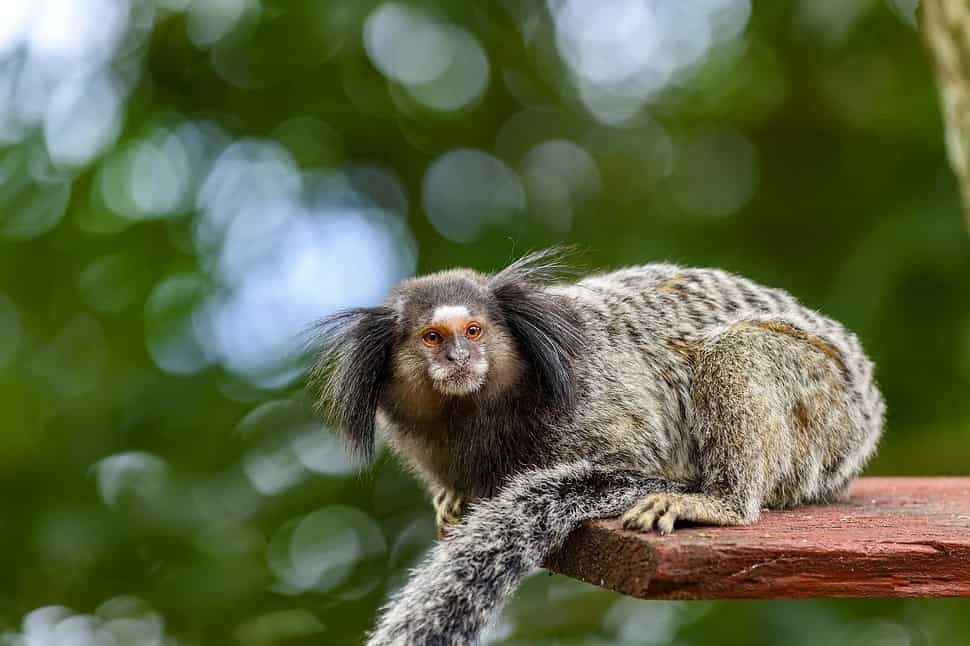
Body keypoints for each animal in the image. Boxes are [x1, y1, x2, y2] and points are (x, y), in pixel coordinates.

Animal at [312, 248, 884, 646]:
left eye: (473, 331)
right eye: (432, 338)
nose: (458, 357)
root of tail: (868, 410)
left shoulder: (597, 407)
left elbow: (621, 469)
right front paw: (452, 499)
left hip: (823, 402)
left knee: (736, 348)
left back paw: (721, 501)